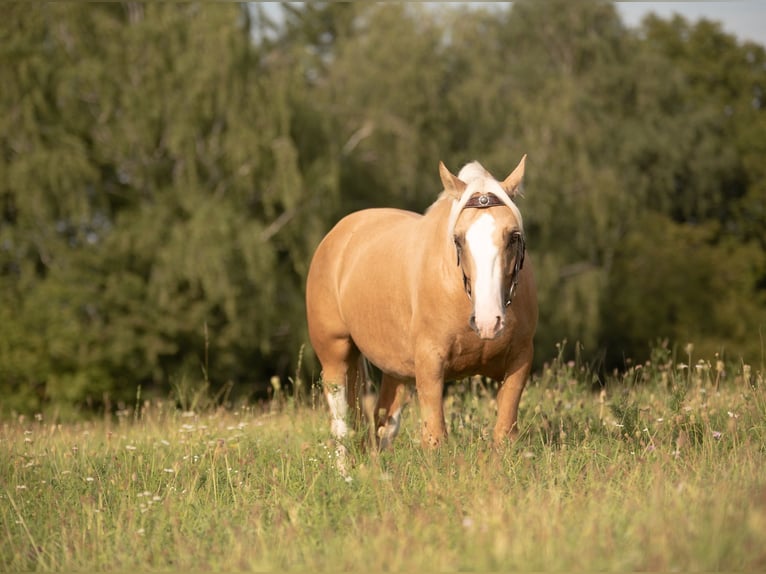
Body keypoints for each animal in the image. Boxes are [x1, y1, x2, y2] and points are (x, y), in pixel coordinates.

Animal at [308, 155, 540, 452]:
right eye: (458, 239)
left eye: (513, 236)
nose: (489, 323)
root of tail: (337, 235)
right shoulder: (430, 365)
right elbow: (435, 438)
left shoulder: (519, 362)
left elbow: (504, 435)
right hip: (335, 355)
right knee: (342, 427)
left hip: (394, 370)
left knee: (383, 424)